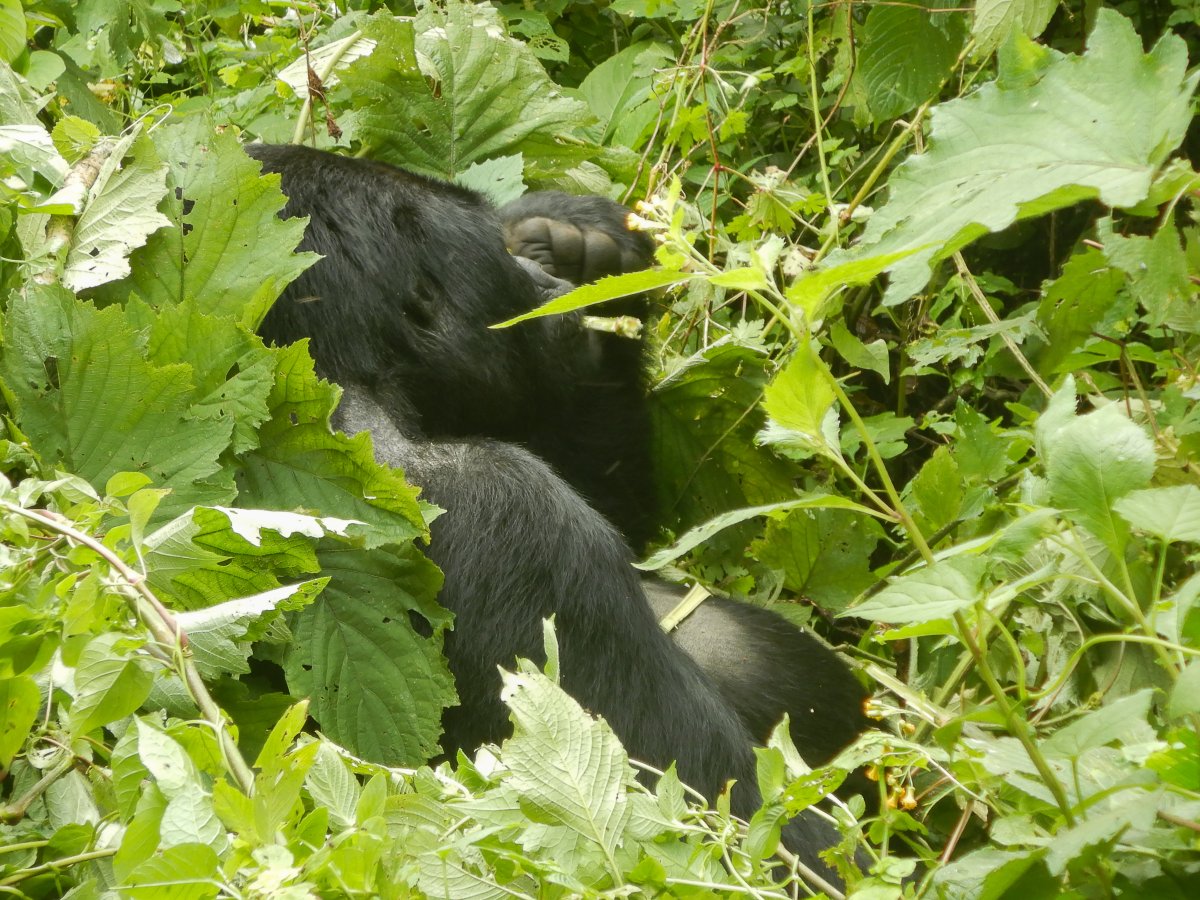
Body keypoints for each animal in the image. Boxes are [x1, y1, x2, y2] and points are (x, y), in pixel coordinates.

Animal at [246, 144, 864, 883]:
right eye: (504, 266)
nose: (542, 276)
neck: (339, 393)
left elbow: (625, 516)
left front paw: (582, 242)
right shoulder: (510, 511)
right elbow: (706, 819)